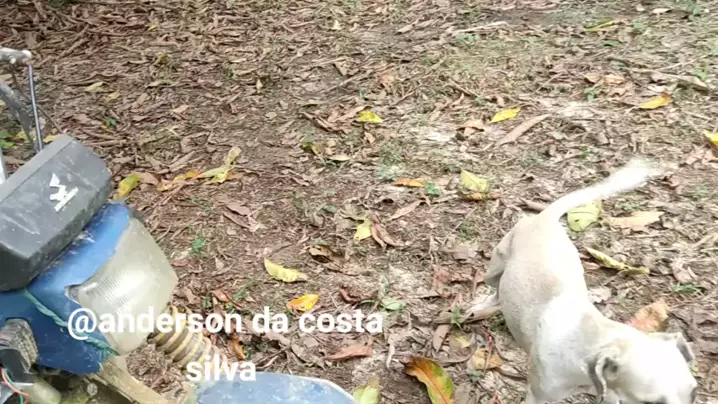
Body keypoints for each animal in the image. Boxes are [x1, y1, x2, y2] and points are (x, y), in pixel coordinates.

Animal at [469, 158, 697, 404]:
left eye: (694, 392)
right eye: (650, 403)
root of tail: (545, 217)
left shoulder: (611, 395)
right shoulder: (538, 395)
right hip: (494, 269)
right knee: (495, 291)